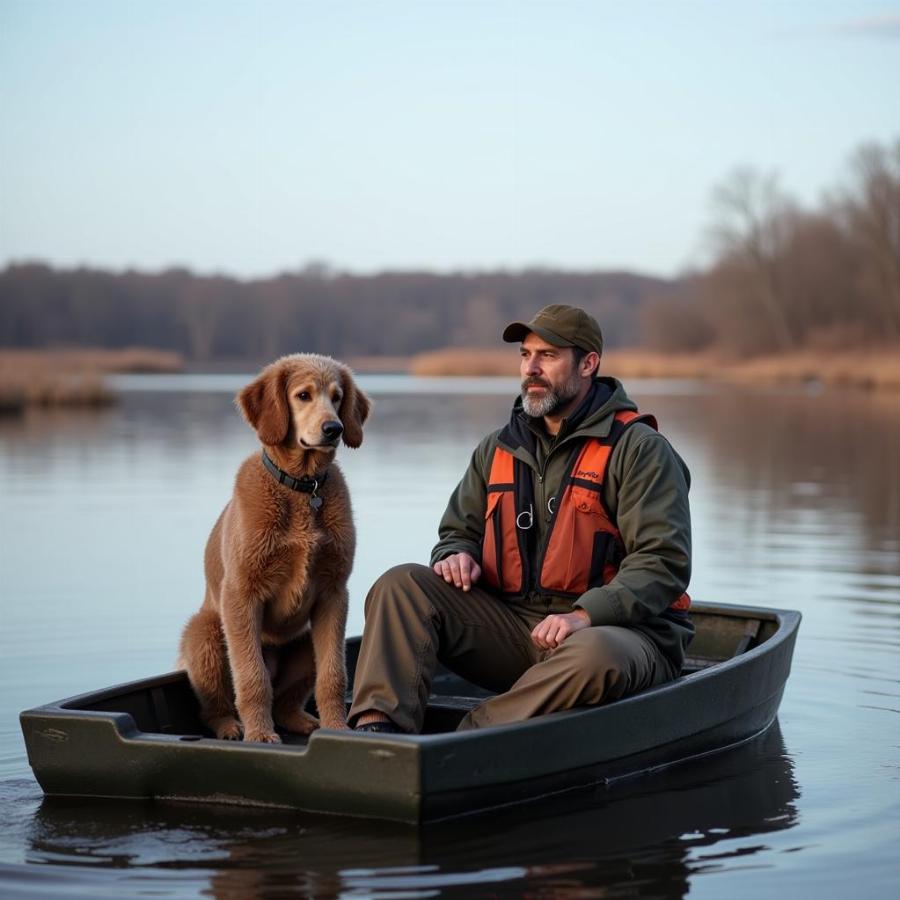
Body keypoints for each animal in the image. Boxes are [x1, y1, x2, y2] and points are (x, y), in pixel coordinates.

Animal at [179, 356, 370, 740]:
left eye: (338, 397)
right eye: (303, 395)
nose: (334, 429)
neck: (302, 488)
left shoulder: (333, 594)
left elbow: (334, 675)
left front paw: (337, 729)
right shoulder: (241, 594)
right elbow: (253, 678)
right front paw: (260, 736)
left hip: (306, 640)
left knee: (285, 701)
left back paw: (303, 720)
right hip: (206, 636)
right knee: (214, 707)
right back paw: (231, 726)